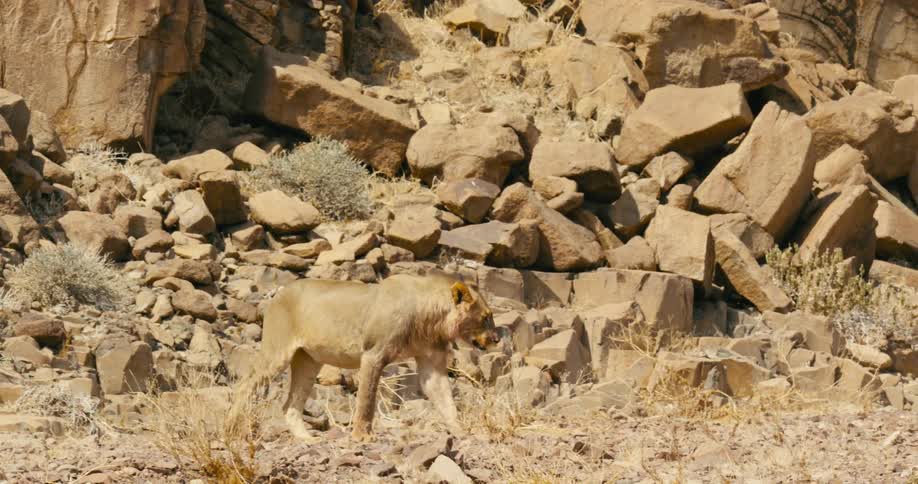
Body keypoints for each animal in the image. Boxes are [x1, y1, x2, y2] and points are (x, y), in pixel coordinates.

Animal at [235, 272, 499, 441]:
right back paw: (234, 424)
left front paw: (462, 433)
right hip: (277, 352)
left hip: (309, 362)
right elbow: (367, 399)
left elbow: (445, 400)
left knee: (290, 405)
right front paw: (362, 436)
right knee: (244, 386)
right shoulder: (374, 354)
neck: (431, 319)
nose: (496, 339)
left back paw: (306, 439)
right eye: (486, 317)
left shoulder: (431, 363)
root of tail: (281, 291)